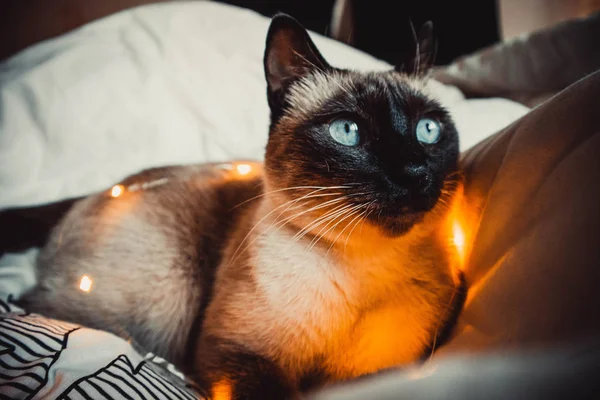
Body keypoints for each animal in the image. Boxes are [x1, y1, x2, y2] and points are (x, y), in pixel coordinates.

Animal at [3, 14, 464, 398]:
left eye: (428, 129)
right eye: (347, 131)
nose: (414, 171)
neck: (361, 268)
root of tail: (105, 189)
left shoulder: (382, 375)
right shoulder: (242, 354)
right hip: (163, 297)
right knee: (30, 304)